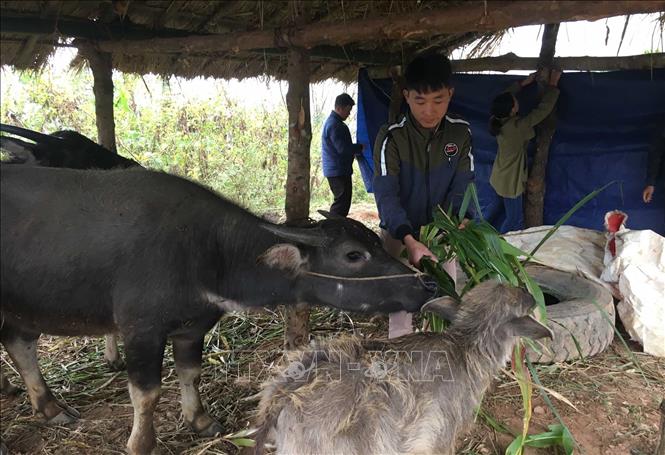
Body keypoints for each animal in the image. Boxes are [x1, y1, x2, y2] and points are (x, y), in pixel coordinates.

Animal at [0, 166, 436, 454]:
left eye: (377, 243)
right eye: (353, 255)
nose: (423, 284)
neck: (207, 250)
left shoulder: (193, 327)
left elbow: (190, 372)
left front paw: (200, 419)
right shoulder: (141, 329)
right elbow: (147, 393)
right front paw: (142, 443)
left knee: (19, 343)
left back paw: (49, 406)